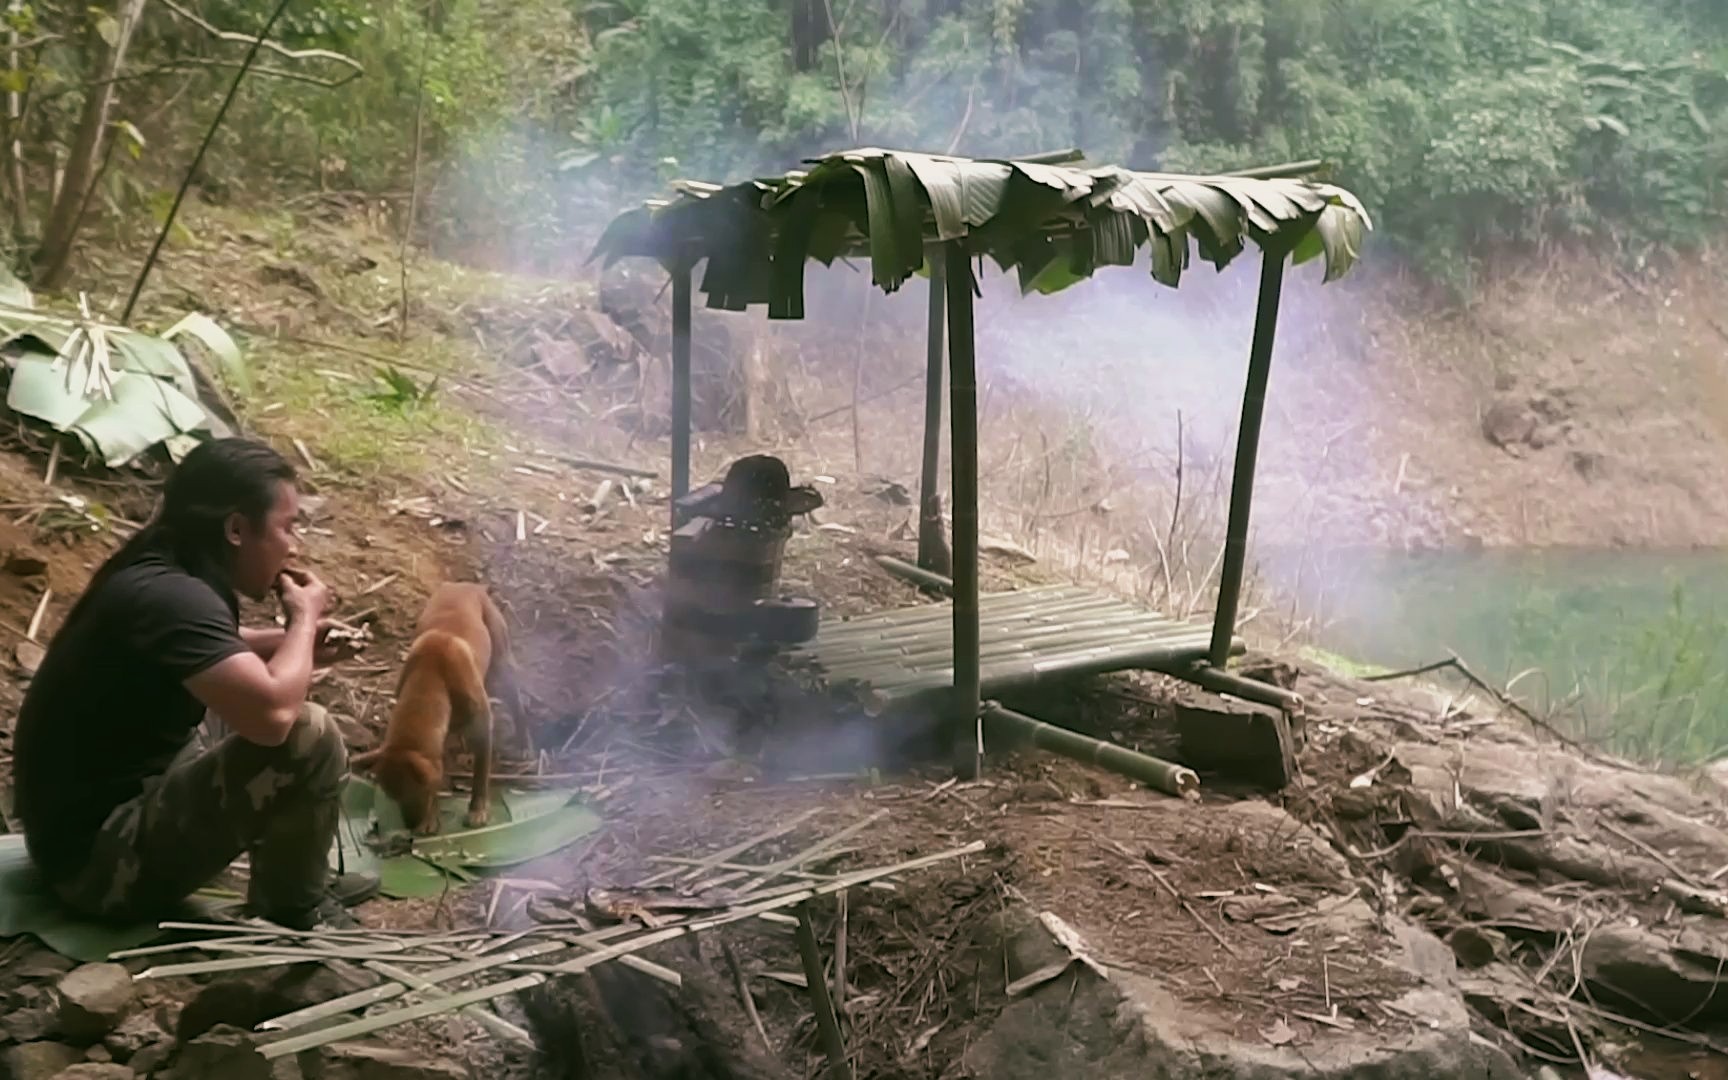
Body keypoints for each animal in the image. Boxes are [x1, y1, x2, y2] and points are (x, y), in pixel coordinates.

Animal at [345, 580, 518, 832]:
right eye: (393, 797)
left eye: (416, 791)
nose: (410, 826)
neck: (432, 672)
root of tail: (468, 585)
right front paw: (432, 817)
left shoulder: (482, 724)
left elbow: (480, 774)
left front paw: (477, 809)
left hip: (503, 659)